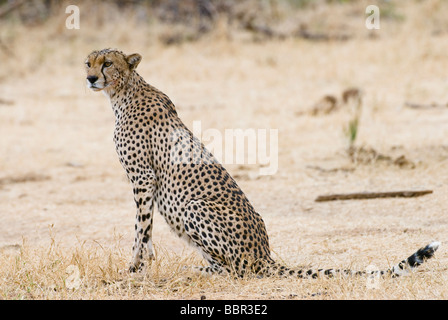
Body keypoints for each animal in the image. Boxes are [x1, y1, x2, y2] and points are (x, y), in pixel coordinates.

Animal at [85, 48, 440, 278]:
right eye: (89, 62)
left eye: (108, 63)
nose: (89, 78)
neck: (123, 92)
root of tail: (264, 254)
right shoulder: (145, 182)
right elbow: (144, 232)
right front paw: (143, 265)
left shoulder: (143, 178)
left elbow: (140, 229)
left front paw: (134, 269)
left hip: (192, 206)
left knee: (236, 271)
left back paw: (196, 270)